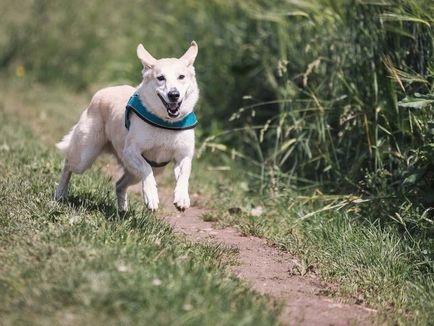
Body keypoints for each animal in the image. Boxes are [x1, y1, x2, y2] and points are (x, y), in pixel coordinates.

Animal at [53, 40, 200, 213]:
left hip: (142, 171)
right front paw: (151, 197)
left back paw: (123, 210)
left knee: (119, 184)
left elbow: (184, 175)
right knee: (68, 164)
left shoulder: (183, 156)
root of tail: (102, 91)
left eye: (181, 77)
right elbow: (146, 169)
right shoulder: (131, 152)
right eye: (160, 78)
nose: (174, 94)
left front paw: (182, 198)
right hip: (85, 156)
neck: (166, 122)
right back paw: (60, 194)